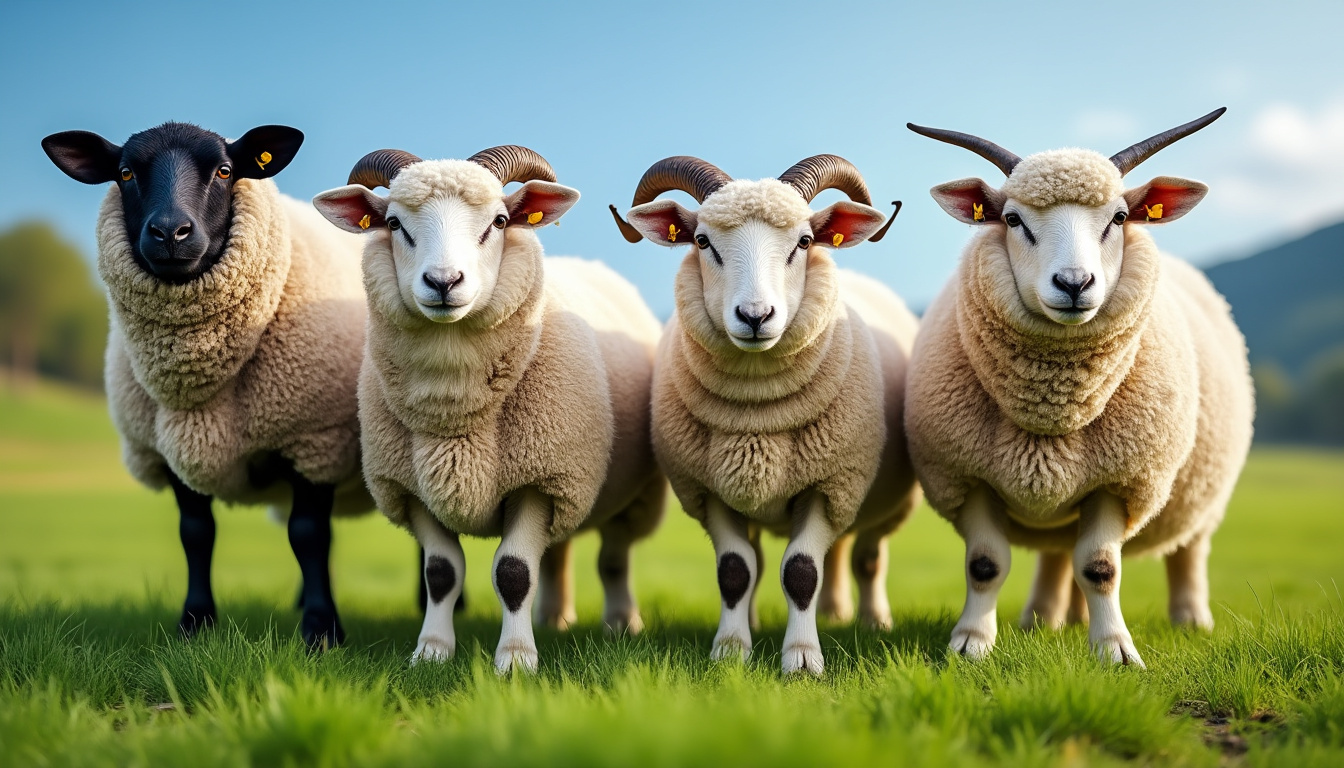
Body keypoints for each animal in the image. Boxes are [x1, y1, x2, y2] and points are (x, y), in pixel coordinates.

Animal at [41, 122, 372, 647]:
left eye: (225, 170)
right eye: (125, 172)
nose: (169, 232)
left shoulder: (313, 441)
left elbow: (307, 534)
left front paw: (322, 631)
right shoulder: (171, 448)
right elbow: (196, 534)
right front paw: (194, 624)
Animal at [312, 145, 665, 674]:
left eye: (499, 221)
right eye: (393, 224)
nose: (443, 282)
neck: (454, 412)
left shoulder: (539, 479)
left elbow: (514, 572)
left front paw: (515, 660)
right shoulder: (413, 489)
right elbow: (440, 574)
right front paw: (431, 652)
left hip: (629, 493)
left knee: (614, 557)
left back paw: (621, 622)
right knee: (558, 552)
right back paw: (554, 618)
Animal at [611, 155, 920, 675]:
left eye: (805, 242)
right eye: (702, 241)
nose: (755, 316)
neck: (757, 419)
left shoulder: (829, 485)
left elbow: (802, 570)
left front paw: (802, 658)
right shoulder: (709, 489)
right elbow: (735, 570)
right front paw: (731, 651)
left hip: (887, 502)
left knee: (867, 556)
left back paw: (872, 620)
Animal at [903, 108, 1254, 667]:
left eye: (1119, 218)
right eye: (1012, 220)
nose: (1073, 284)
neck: (1052, 410)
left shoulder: (1121, 480)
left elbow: (1100, 567)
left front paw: (1115, 651)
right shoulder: (967, 475)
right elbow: (985, 564)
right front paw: (972, 643)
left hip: (1204, 494)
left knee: (1189, 550)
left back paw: (1191, 620)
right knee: (1056, 554)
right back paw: (1047, 619)